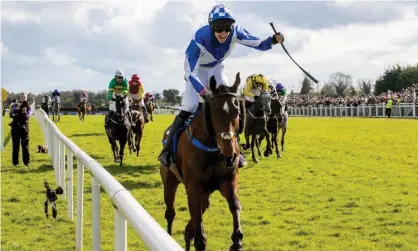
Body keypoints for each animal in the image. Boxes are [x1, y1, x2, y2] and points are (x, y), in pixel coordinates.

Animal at [160, 72, 245, 251]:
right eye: (213, 111)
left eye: (237, 111)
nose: (230, 156)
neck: (212, 149)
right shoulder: (193, 187)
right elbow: (199, 235)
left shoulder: (228, 180)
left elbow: (235, 204)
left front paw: (237, 239)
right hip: (169, 181)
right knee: (170, 213)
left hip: (206, 193)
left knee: (192, 221)